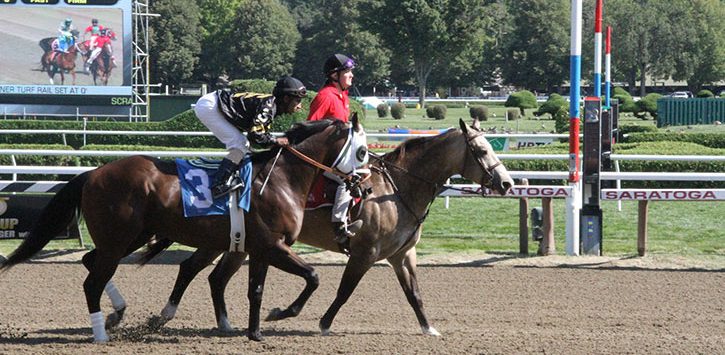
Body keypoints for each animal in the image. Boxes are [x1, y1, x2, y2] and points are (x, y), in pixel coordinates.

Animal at [1, 117, 368, 344]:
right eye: (362, 151)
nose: (363, 185)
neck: (280, 179)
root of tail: (93, 173)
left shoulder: (260, 248)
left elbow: (256, 290)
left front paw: (255, 333)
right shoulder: (273, 245)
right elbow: (313, 277)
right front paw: (281, 313)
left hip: (129, 236)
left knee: (92, 263)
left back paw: (117, 312)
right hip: (119, 237)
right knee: (92, 280)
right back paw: (101, 333)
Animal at [139, 118, 512, 338]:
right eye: (481, 150)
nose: (507, 184)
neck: (397, 189)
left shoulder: (403, 255)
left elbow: (414, 293)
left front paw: (428, 328)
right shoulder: (365, 253)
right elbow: (344, 291)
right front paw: (322, 323)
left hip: (238, 243)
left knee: (212, 276)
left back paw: (223, 324)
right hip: (229, 241)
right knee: (192, 268)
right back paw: (170, 315)